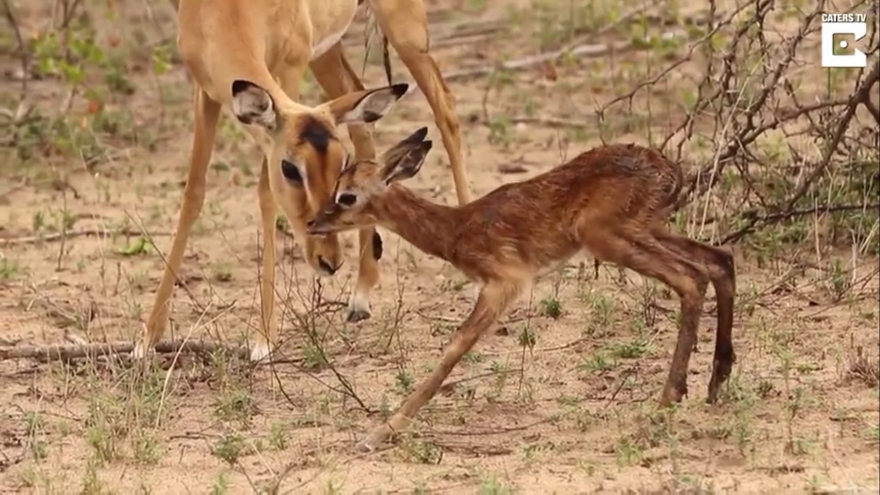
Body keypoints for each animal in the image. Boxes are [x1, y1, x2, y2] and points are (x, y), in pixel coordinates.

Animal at [308, 131, 736, 454]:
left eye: (347, 195)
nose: (313, 222)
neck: (457, 229)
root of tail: (669, 170)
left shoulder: (504, 284)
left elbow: (454, 347)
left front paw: (380, 432)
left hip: (612, 238)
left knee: (691, 278)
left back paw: (667, 400)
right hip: (649, 230)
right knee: (719, 260)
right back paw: (715, 382)